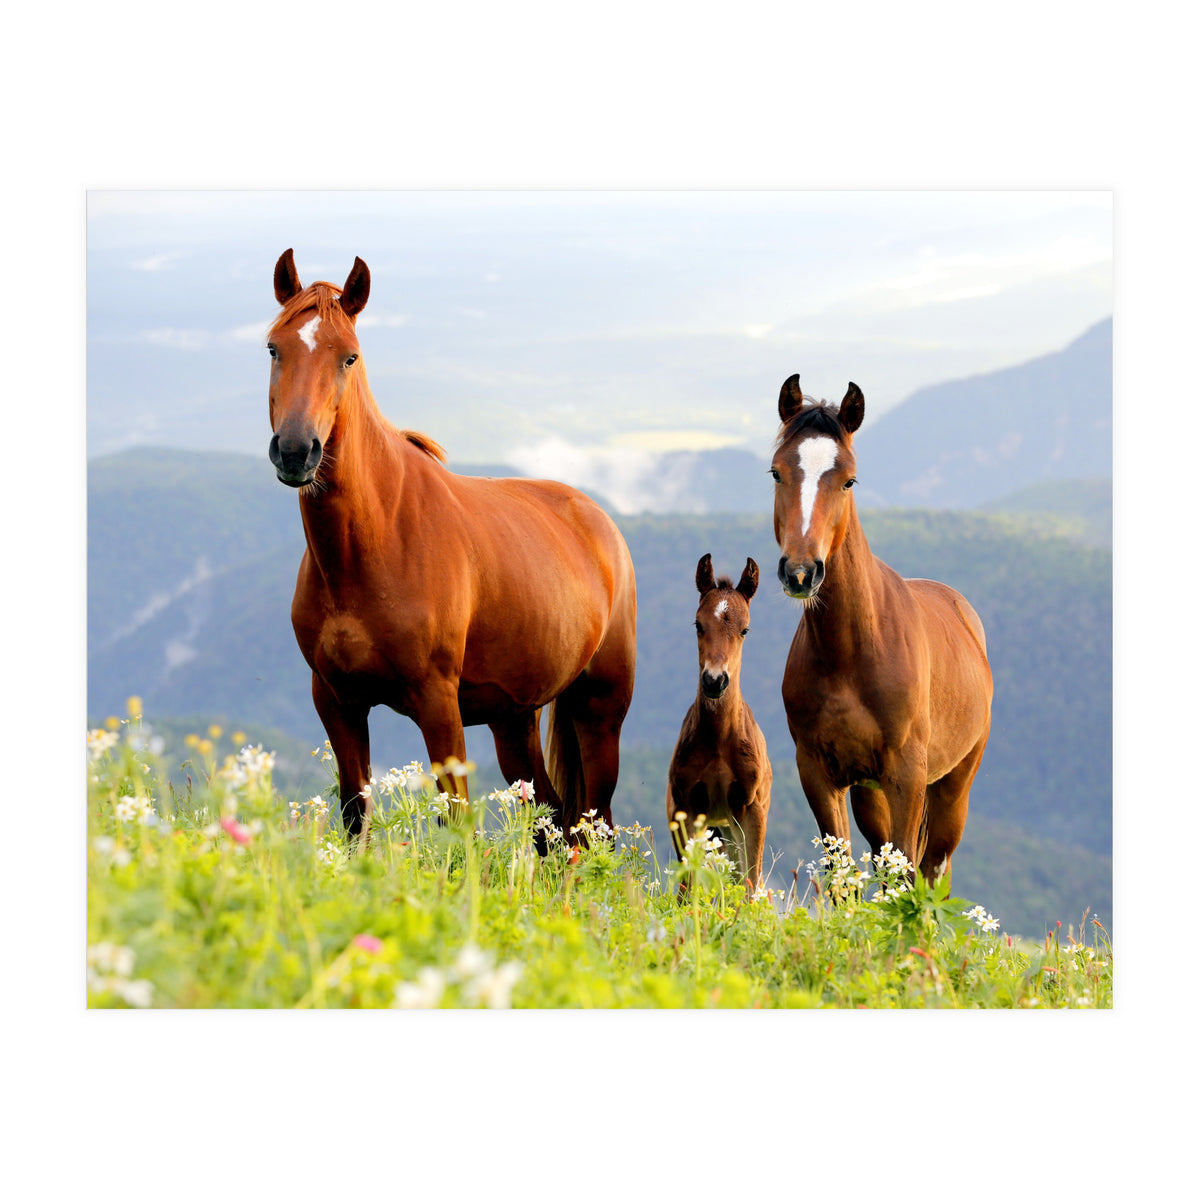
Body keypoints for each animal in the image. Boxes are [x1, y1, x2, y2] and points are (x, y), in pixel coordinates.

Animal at [265, 249, 637, 841]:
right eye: (274, 347)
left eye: (349, 358)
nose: (297, 451)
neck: (372, 546)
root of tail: (600, 522)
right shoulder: (337, 700)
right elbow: (354, 815)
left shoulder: (438, 703)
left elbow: (458, 822)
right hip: (514, 720)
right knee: (553, 821)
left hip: (600, 710)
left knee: (592, 825)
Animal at [666, 554, 772, 892]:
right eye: (698, 625)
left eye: (745, 629)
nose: (715, 680)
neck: (719, 742)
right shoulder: (686, 807)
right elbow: (687, 886)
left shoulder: (752, 809)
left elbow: (750, 883)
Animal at [770, 375, 992, 887]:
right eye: (776, 473)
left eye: (849, 479)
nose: (800, 572)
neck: (851, 652)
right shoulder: (820, 774)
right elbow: (842, 874)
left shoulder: (906, 776)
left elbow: (909, 871)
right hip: (869, 793)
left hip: (952, 786)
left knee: (934, 867)